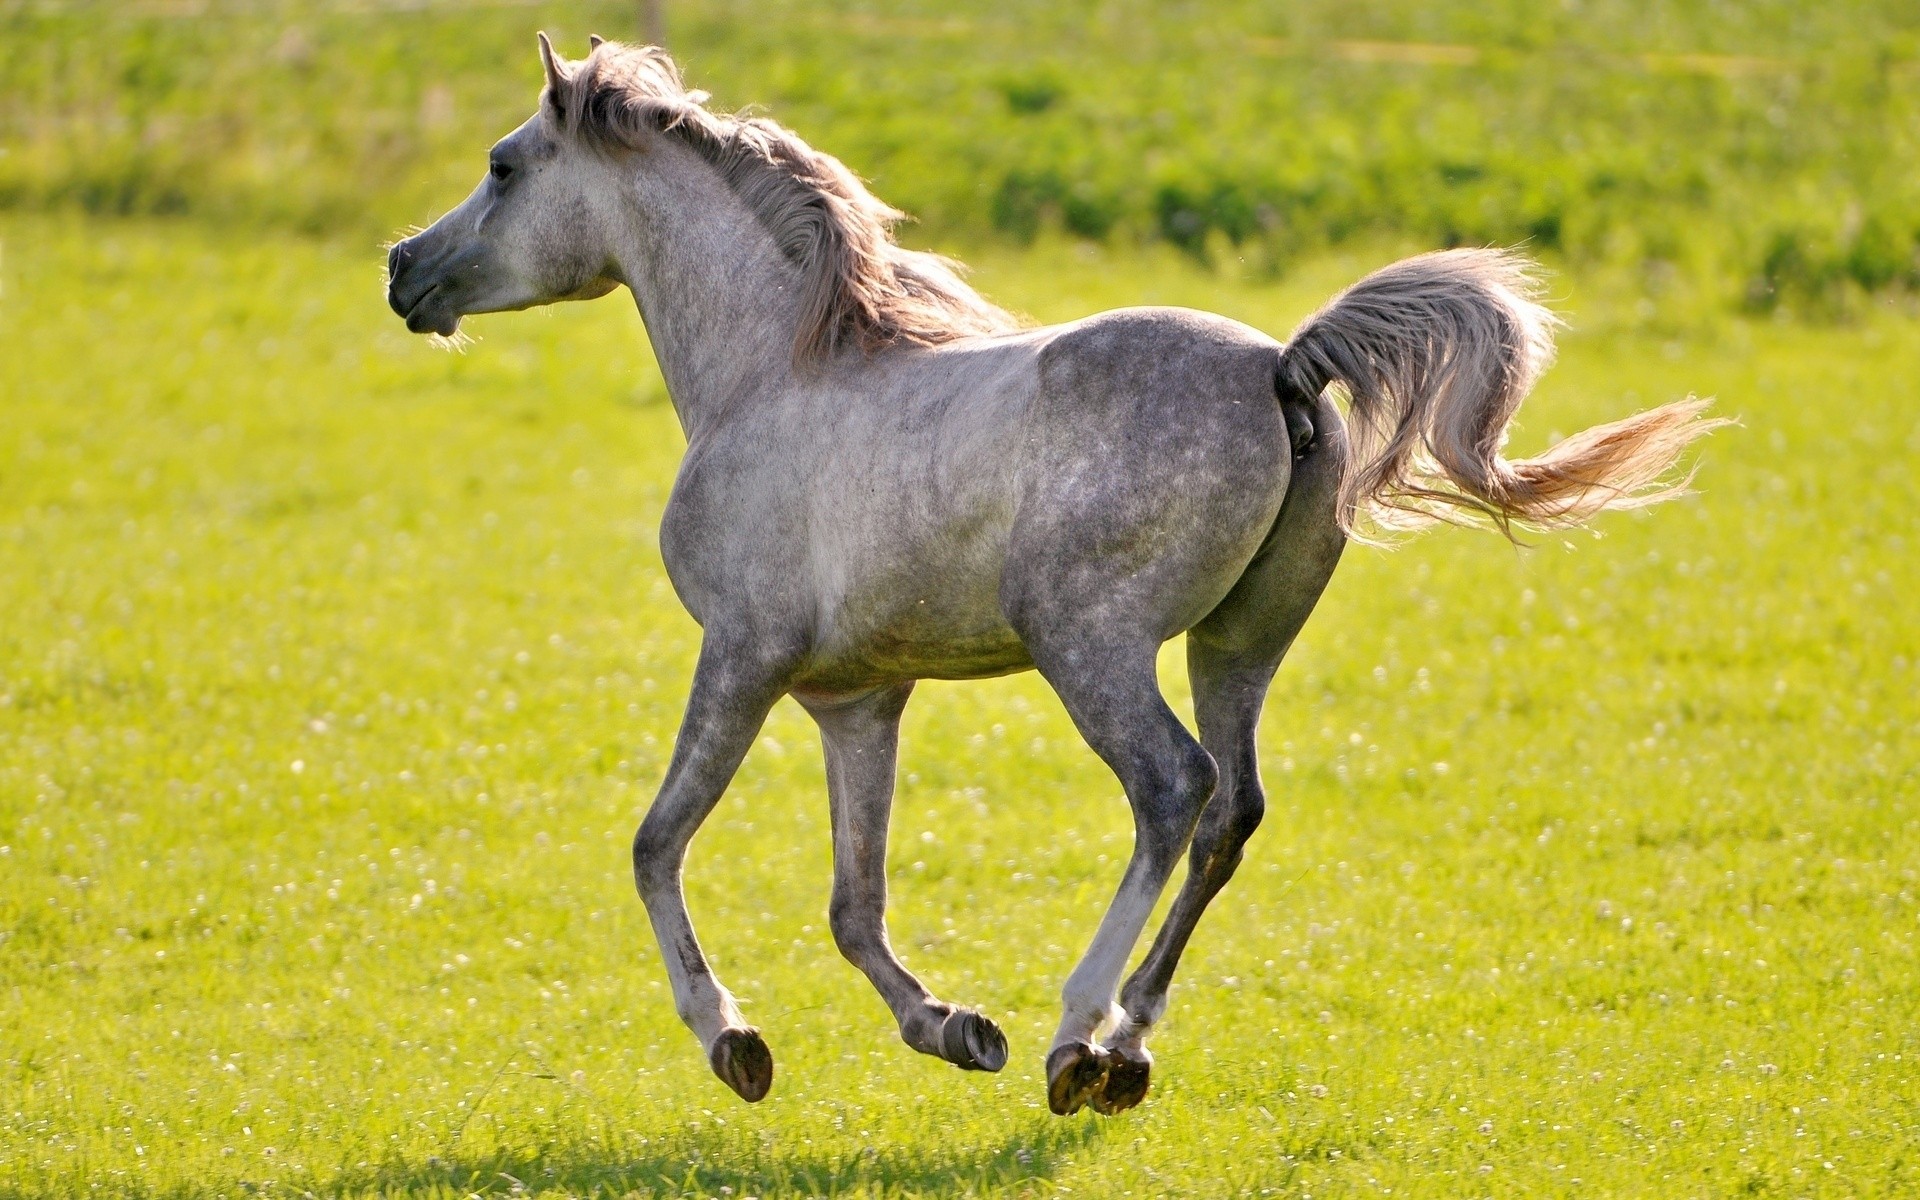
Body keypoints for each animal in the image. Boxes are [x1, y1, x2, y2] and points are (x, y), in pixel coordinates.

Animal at [385, 35, 1719, 1116]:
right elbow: (852, 904)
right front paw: (952, 1028)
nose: (404, 270)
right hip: (1238, 645)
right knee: (1232, 811)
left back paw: (1078, 1035)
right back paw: (1126, 1047)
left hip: (1092, 644)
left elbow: (656, 845)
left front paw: (736, 1044)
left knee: (1172, 789)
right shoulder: (855, 700)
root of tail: (1284, 368)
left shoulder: (743, 658)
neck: (774, 371)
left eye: (503, 167)